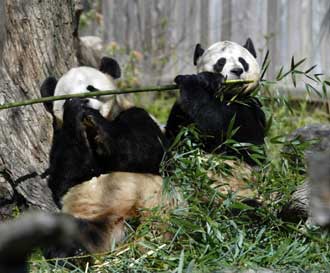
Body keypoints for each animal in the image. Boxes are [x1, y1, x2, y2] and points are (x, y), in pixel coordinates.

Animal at [165, 38, 266, 166]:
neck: (228, 96)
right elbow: (177, 136)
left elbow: (217, 124)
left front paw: (193, 80)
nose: (237, 70)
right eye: (221, 62)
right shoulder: (180, 112)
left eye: (243, 61)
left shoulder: (247, 108)